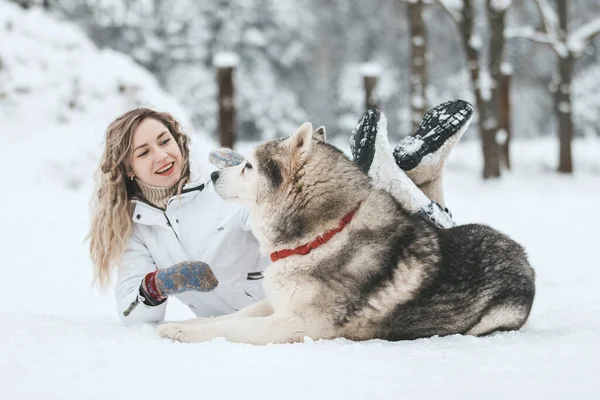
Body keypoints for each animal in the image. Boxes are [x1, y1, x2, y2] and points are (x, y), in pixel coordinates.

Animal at [155, 122, 536, 344]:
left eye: (248, 166)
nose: (214, 176)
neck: (321, 237)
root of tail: (524, 256)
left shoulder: (297, 326)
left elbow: (232, 327)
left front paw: (180, 331)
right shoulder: (274, 304)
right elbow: (232, 316)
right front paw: (186, 326)